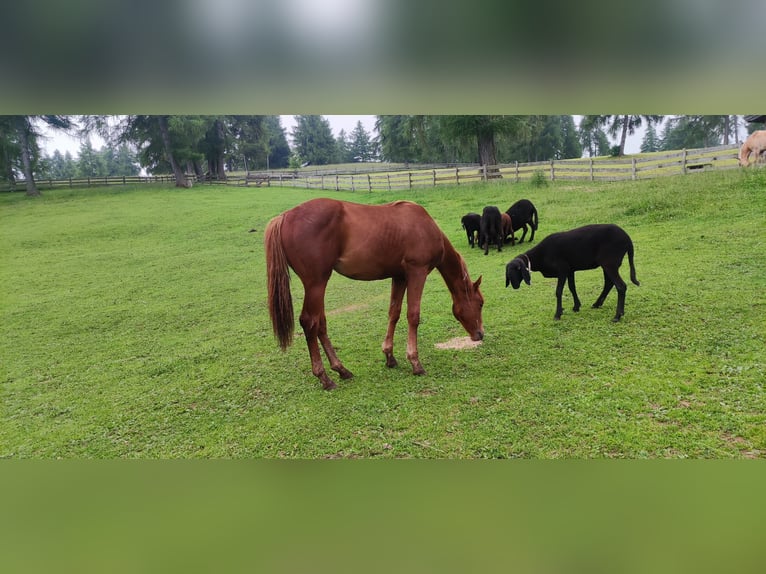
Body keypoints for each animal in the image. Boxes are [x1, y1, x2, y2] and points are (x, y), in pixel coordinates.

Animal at [264, 198, 486, 392]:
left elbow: (394, 313)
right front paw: (415, 362)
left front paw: (389, 356)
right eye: (481, 303)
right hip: (316, 283)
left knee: (321, 324)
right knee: (310, 322)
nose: (480, 334)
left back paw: (341, 370)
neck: (425, 227)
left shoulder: (400, 277)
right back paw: (324, 378)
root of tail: (284, 217)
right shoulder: (417, 272)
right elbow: (413, 316)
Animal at [508, 225, 640, 324]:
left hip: (609, 263)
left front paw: (558, 314)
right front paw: (576, 307)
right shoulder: (570, 270)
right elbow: (572, 287)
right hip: (607, 264)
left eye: (517, 269)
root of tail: (627, 239)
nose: (514, 286)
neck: (541, 255)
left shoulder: (562, 269)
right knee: (609, 283)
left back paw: (617, 316)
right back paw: (597, 304)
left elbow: (558, 291)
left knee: (620, 286)